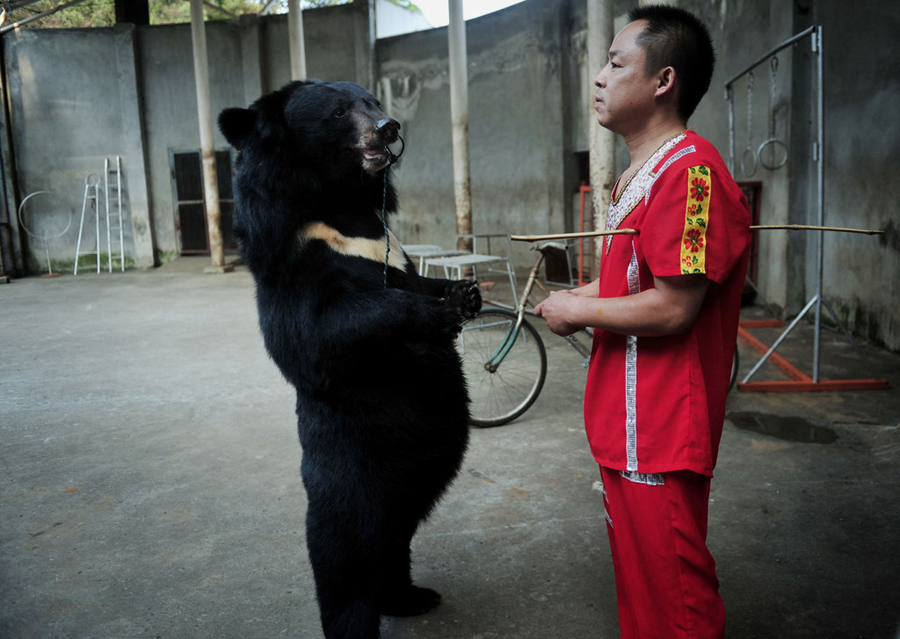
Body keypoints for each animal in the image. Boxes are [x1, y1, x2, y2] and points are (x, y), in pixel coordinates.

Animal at [219, 81, 482, 639]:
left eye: (374, 102)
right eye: (339, 113)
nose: (389, 127)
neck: (341, 199)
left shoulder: (389, 245)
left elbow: (417, 277)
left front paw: (463, 294)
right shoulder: (295, 256)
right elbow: (323, 330)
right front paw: (435, 313)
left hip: (421, 476)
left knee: (397, 533)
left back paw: (410, 597)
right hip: (350, 466)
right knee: (345, 549)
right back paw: (358, 623)